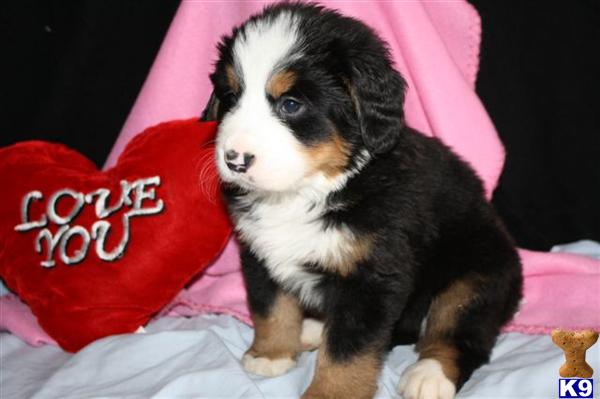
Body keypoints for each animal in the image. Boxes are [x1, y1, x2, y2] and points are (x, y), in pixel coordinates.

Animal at [200, 3, 520, 399]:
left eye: (291, 105)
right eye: (230, 97)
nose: (235, 159)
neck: (310, 191)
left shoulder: (371, 278)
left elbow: (347, 350)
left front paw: (329, 392)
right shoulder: (259, 255)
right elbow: (272, 308)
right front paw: (271, 354)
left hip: (479, 272)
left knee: (460, 332)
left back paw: (429, 374)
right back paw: (312, 330)